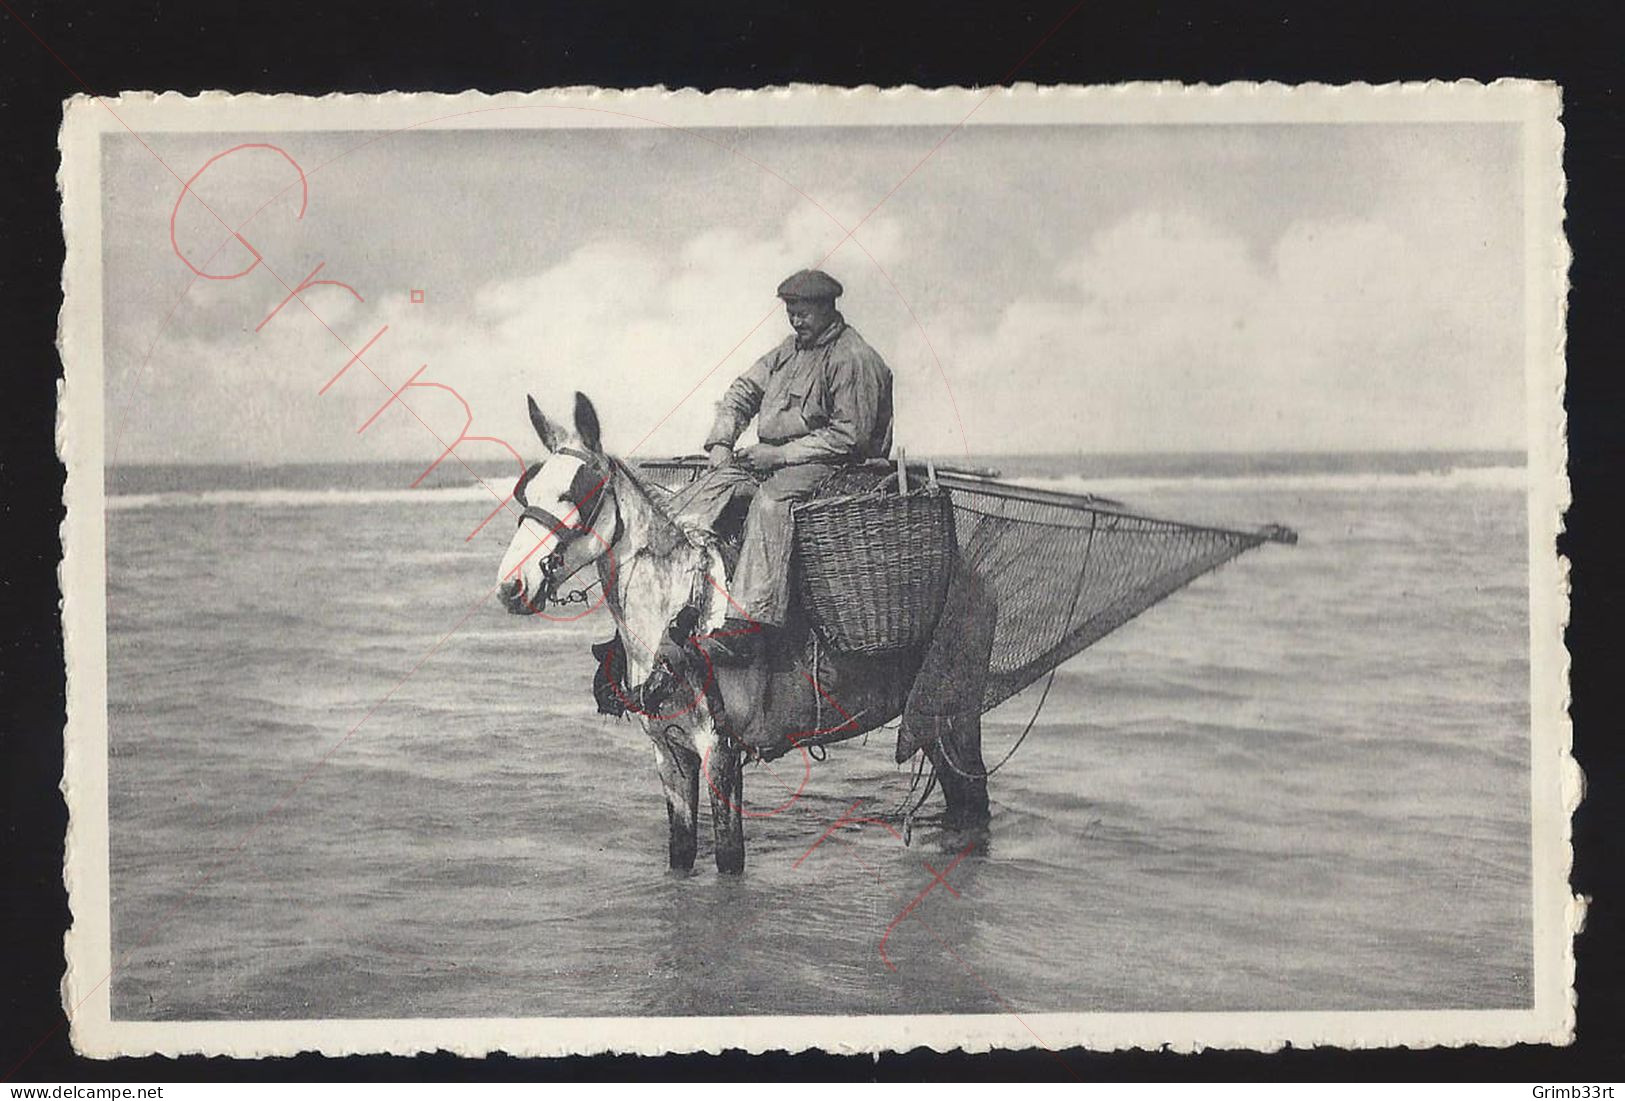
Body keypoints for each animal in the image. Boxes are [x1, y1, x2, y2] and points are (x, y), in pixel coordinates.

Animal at [494, 392, 988, 876]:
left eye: (576, 492)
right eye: (526, 491)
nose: (510, 586)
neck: (679, 626)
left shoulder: (721, 752)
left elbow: (729, 857)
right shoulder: (669, 754)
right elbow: (681, 851)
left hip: (955, 720)